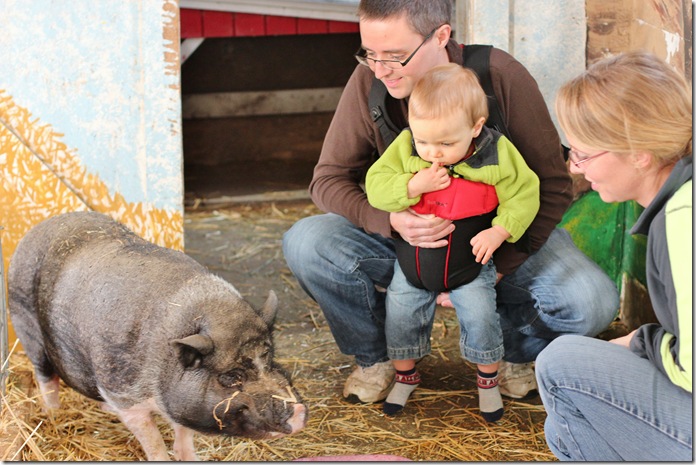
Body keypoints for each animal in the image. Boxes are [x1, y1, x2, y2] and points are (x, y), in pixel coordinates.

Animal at [8, 211, 307, 461]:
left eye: (269, 357)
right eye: (231, 376)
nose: (299, 411)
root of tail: (36, 229)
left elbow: (183, 434)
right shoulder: (124, 395)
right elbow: (152, 441)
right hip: (25, 324)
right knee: (45, 377)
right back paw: (53, 414)